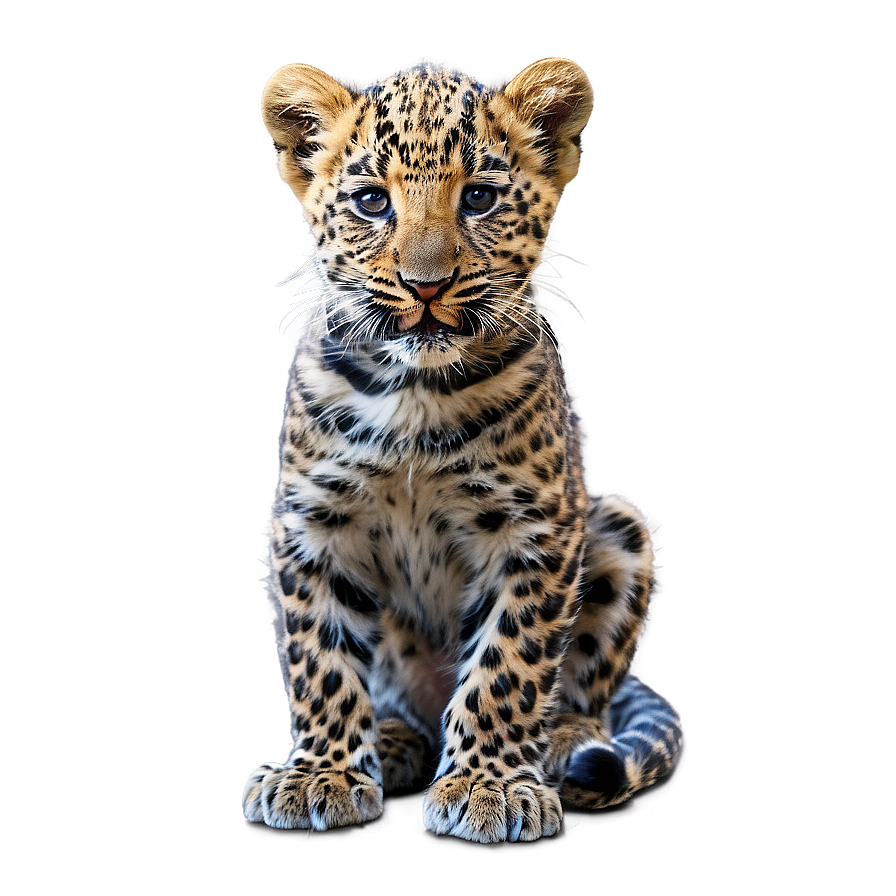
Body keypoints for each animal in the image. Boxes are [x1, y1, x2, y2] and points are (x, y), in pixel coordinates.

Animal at [241, 58, 684, 843]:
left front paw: (491, 785)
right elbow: (322, 656)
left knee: (586, 690)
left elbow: (509, 662)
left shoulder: (534, 532)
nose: (426, 285)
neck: (416, 391)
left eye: (478, 197)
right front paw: (320, 774)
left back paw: (568, 742)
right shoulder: (313, 523)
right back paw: (394, 742)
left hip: (618, 526)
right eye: (371, 201)